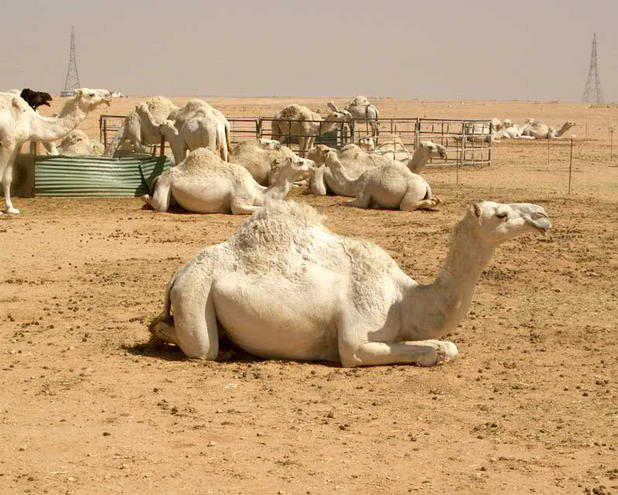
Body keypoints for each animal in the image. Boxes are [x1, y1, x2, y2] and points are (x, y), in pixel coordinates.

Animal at [142, 147, 310, 213]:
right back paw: (145, 198)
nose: (313, 164)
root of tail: (160, 176)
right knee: (159, 204)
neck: (259, 192)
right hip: (165, 186)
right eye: (300, 162)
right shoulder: (238, 204)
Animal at [148, 200, 548, 366]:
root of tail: (178, 273)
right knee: (197, 345)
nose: (542, 216)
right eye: (502, 214)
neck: (403, 299)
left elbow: (447, 346)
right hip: (194, 294)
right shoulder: (356, 340)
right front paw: (428, 356)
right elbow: (424, 348)